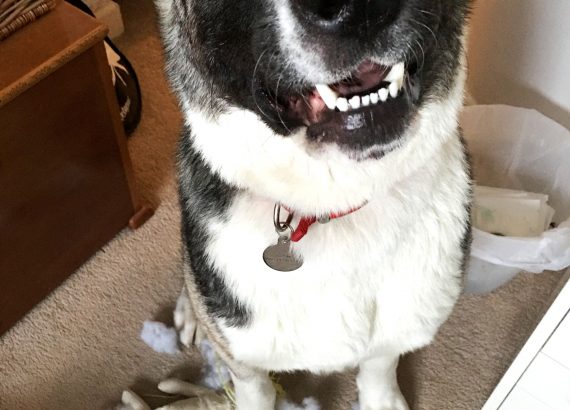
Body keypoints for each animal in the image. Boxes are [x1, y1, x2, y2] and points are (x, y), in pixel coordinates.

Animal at [157, 1, 472, 409]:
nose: (359, 10)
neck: (332, 205)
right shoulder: (246, 364)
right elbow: (254, 387)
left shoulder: (395, 331)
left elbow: (380, 366)